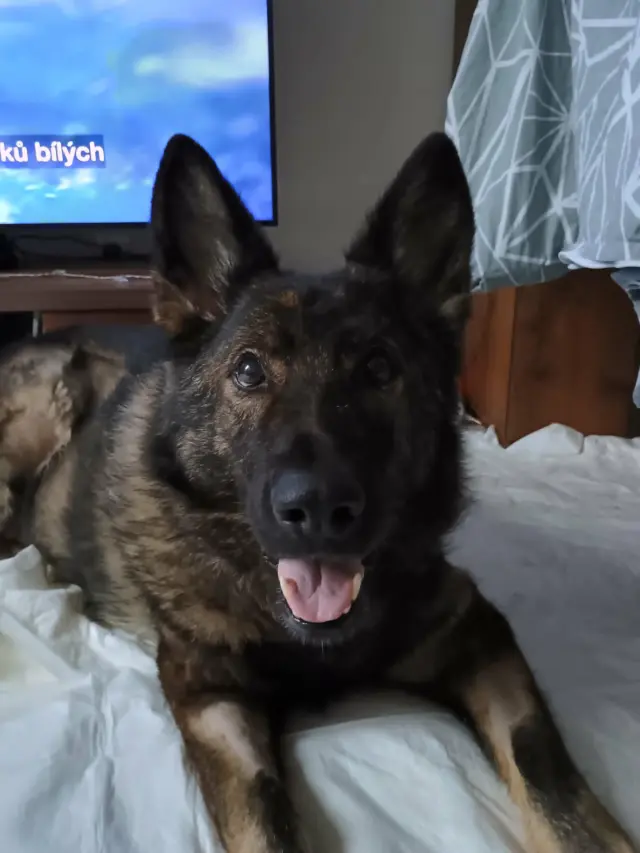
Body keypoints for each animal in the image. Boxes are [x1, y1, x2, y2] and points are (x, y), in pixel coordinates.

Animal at [0, 132, 635, 853]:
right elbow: (263, 818)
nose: (319, 509)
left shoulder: (479, 632)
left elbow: (539, 765)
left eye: (380, 368)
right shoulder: (214, 701)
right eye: (249, 370)